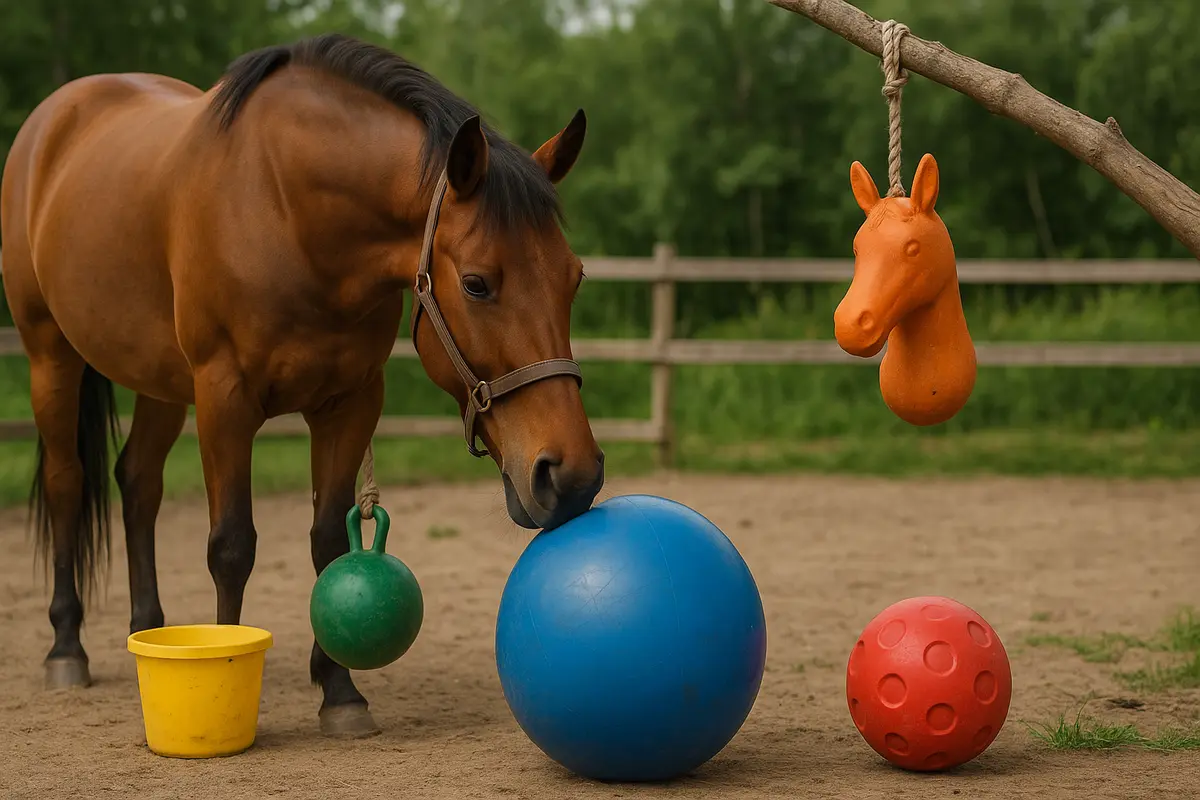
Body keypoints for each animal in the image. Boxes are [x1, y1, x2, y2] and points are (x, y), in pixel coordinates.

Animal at [0, 33, 605, 737]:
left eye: (574, 277)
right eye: (478, 283)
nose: (571, 475)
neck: (289, 212)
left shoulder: (351, 402)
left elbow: (329, 540)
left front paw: (339, 691)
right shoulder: (225, 399)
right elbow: (231, 546)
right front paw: (222, 677)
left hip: (159, 380)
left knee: (138, 483)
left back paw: (148, 630)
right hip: (51, 356)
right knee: (67, 484)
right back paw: (67, 648)